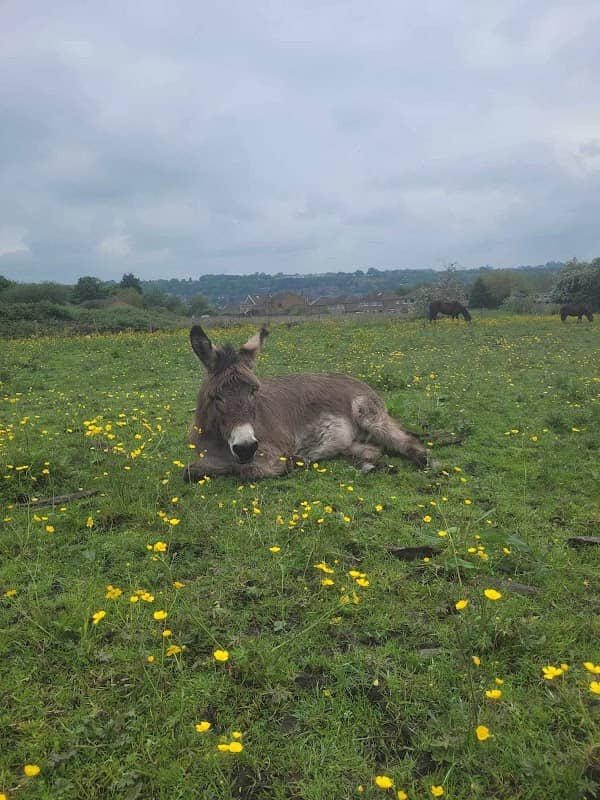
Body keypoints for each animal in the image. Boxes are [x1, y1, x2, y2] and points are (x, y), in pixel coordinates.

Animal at [183, 325, 431, 482]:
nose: (245, 448)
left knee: (408, 442)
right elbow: (190, 471)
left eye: (254, 391)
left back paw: (427, 464)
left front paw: (291, 463)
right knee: (373, 450)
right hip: (349, 441)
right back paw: (367, 466)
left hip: (369, 415)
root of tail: (359, 382)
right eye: (216, 397)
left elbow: (250, 471)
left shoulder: (273, 448)